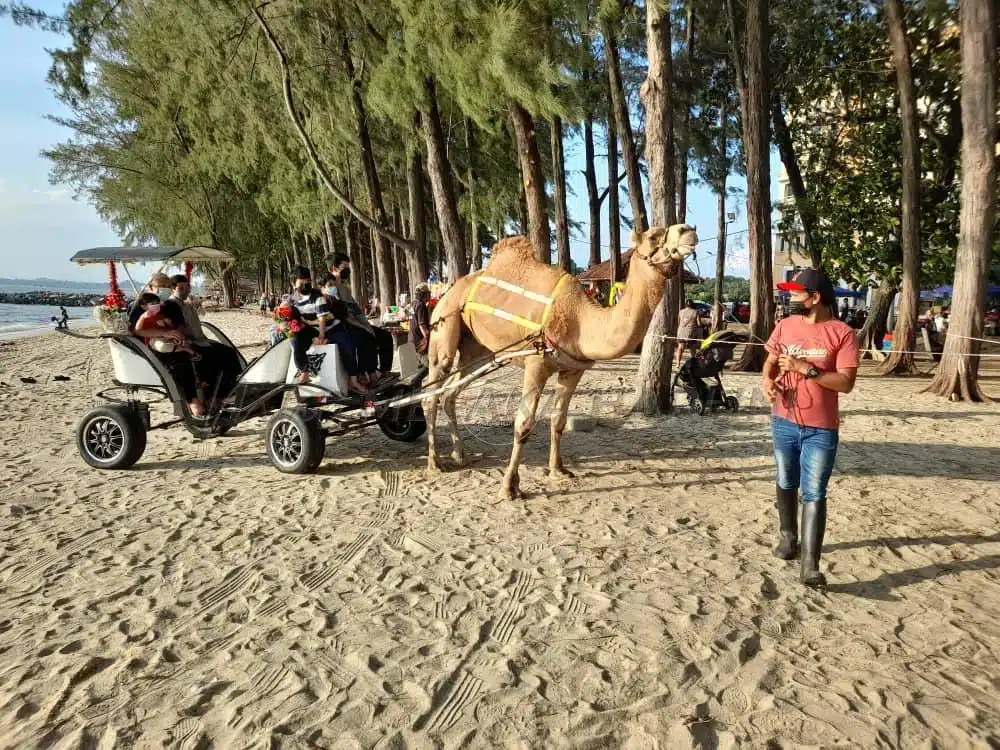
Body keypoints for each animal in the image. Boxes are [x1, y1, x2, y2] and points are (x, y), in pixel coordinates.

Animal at [422, 226, 696, 502]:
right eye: (653, 236)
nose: (688, 230)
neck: (581, 320)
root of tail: (446, 292)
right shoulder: (536, 364)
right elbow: (524, 424)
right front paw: (510, 487)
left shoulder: (573, 369)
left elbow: (559, 420)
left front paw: (558, 470)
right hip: (444, 328)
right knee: (431, 393)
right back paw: (435, 463)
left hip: (478, 351)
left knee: (449, 393)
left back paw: (460, 454)